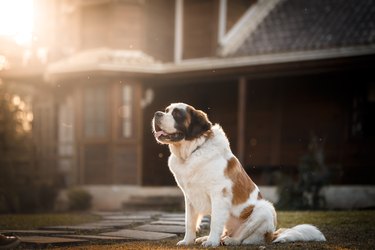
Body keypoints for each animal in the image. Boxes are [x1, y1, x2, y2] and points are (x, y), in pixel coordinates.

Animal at [152, 102, 326, 247]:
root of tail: (272, 234)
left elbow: (215, 222)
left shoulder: (219, 194)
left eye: (177, 114)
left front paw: (212, 242)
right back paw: (210, 238)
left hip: (265, 209)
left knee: (247, 238)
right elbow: (189, 221)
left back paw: (229, 240)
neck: (192, 152)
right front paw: (187, 241)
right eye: (167, 110)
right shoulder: (189, 197)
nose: (157, 113)